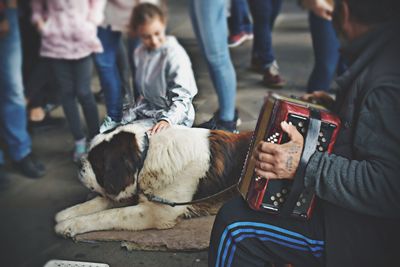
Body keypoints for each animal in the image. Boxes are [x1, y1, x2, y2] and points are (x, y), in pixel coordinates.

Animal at [54, 123, 252, 239]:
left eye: (96, 163)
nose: (79, 163)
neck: (147, 155)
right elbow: (99, 202)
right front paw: (67, 214)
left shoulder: (157, 212)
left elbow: (110, 215)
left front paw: (69, 225)